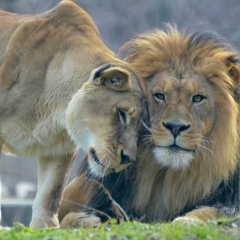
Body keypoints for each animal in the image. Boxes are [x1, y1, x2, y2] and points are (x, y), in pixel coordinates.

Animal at [58, 24, 240, 229]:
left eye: (198, 98)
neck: (166, 177)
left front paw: (187, 220)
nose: (175, 127)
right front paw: (85, 220)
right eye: (160, 96)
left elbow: (215, 211)